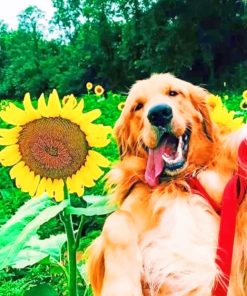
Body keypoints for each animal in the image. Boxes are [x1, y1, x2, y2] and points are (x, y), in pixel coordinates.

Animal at [87, 73, 247, 294]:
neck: (178, 182)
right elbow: (116, 220)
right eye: (138, 106)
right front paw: (121, 286)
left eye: (173, 93)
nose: (159, 114)